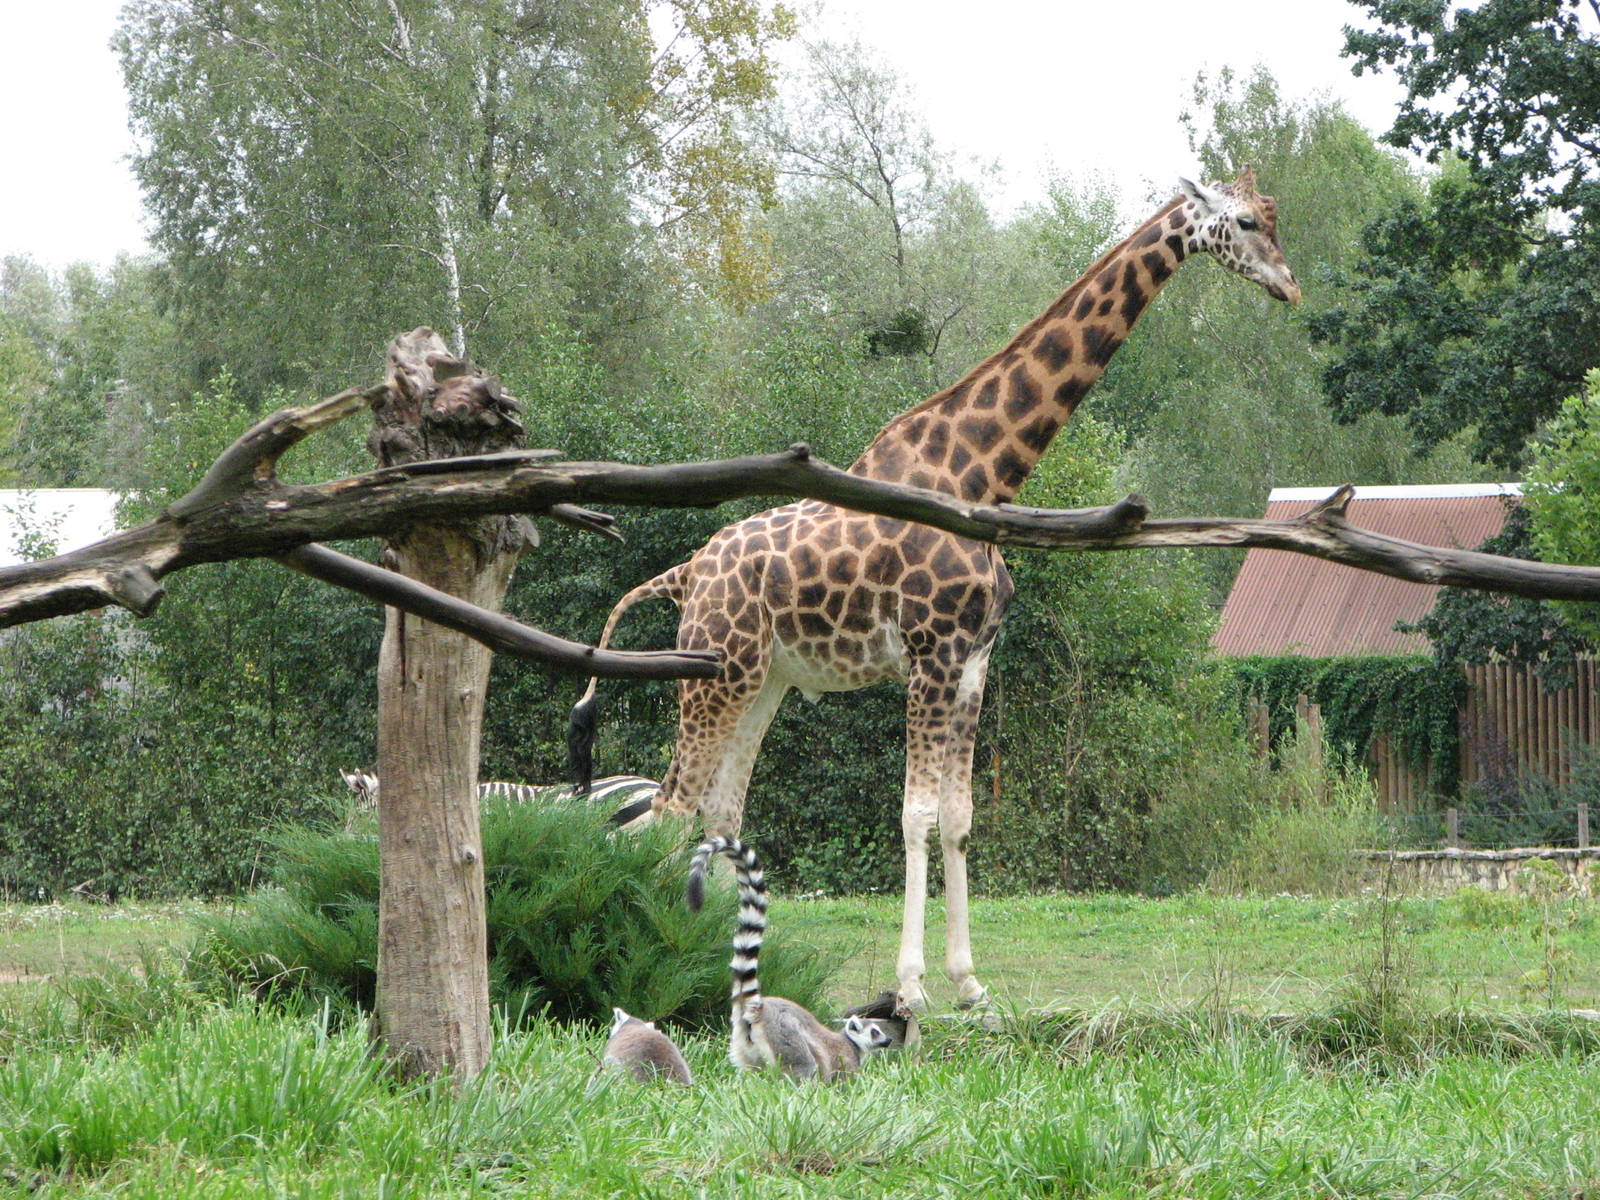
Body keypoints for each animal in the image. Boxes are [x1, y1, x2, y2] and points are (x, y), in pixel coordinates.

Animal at [570, 167, 1299, 1011]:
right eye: (1244, 222)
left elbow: (958, 815)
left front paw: (970, 983)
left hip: (763, 678)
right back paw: (664, 956)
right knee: (667, 808)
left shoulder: (976, 660)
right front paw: (912, 986)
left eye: (1275, 217)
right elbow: (915, 813)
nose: (1290, 285)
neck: (984, 476)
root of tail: (688, 573)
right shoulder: (929, 654)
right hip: (712, 671)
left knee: (719, 808)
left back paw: (731, 969)